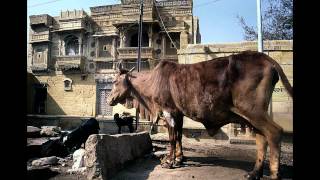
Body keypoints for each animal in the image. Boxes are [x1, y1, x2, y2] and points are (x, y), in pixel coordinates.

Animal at [107, 51, 292, 180]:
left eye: (115, 82)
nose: (109, 99)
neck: (152, 81)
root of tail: (265, 58)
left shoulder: (168, 111)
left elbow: (172, 138)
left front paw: (169, 161)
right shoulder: (179, 114)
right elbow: (179, 136)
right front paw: (179, 159)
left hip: (252, 111)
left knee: (274, 132)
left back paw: (273, 174)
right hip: (253, 115)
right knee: (262, 138)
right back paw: (254, 173)